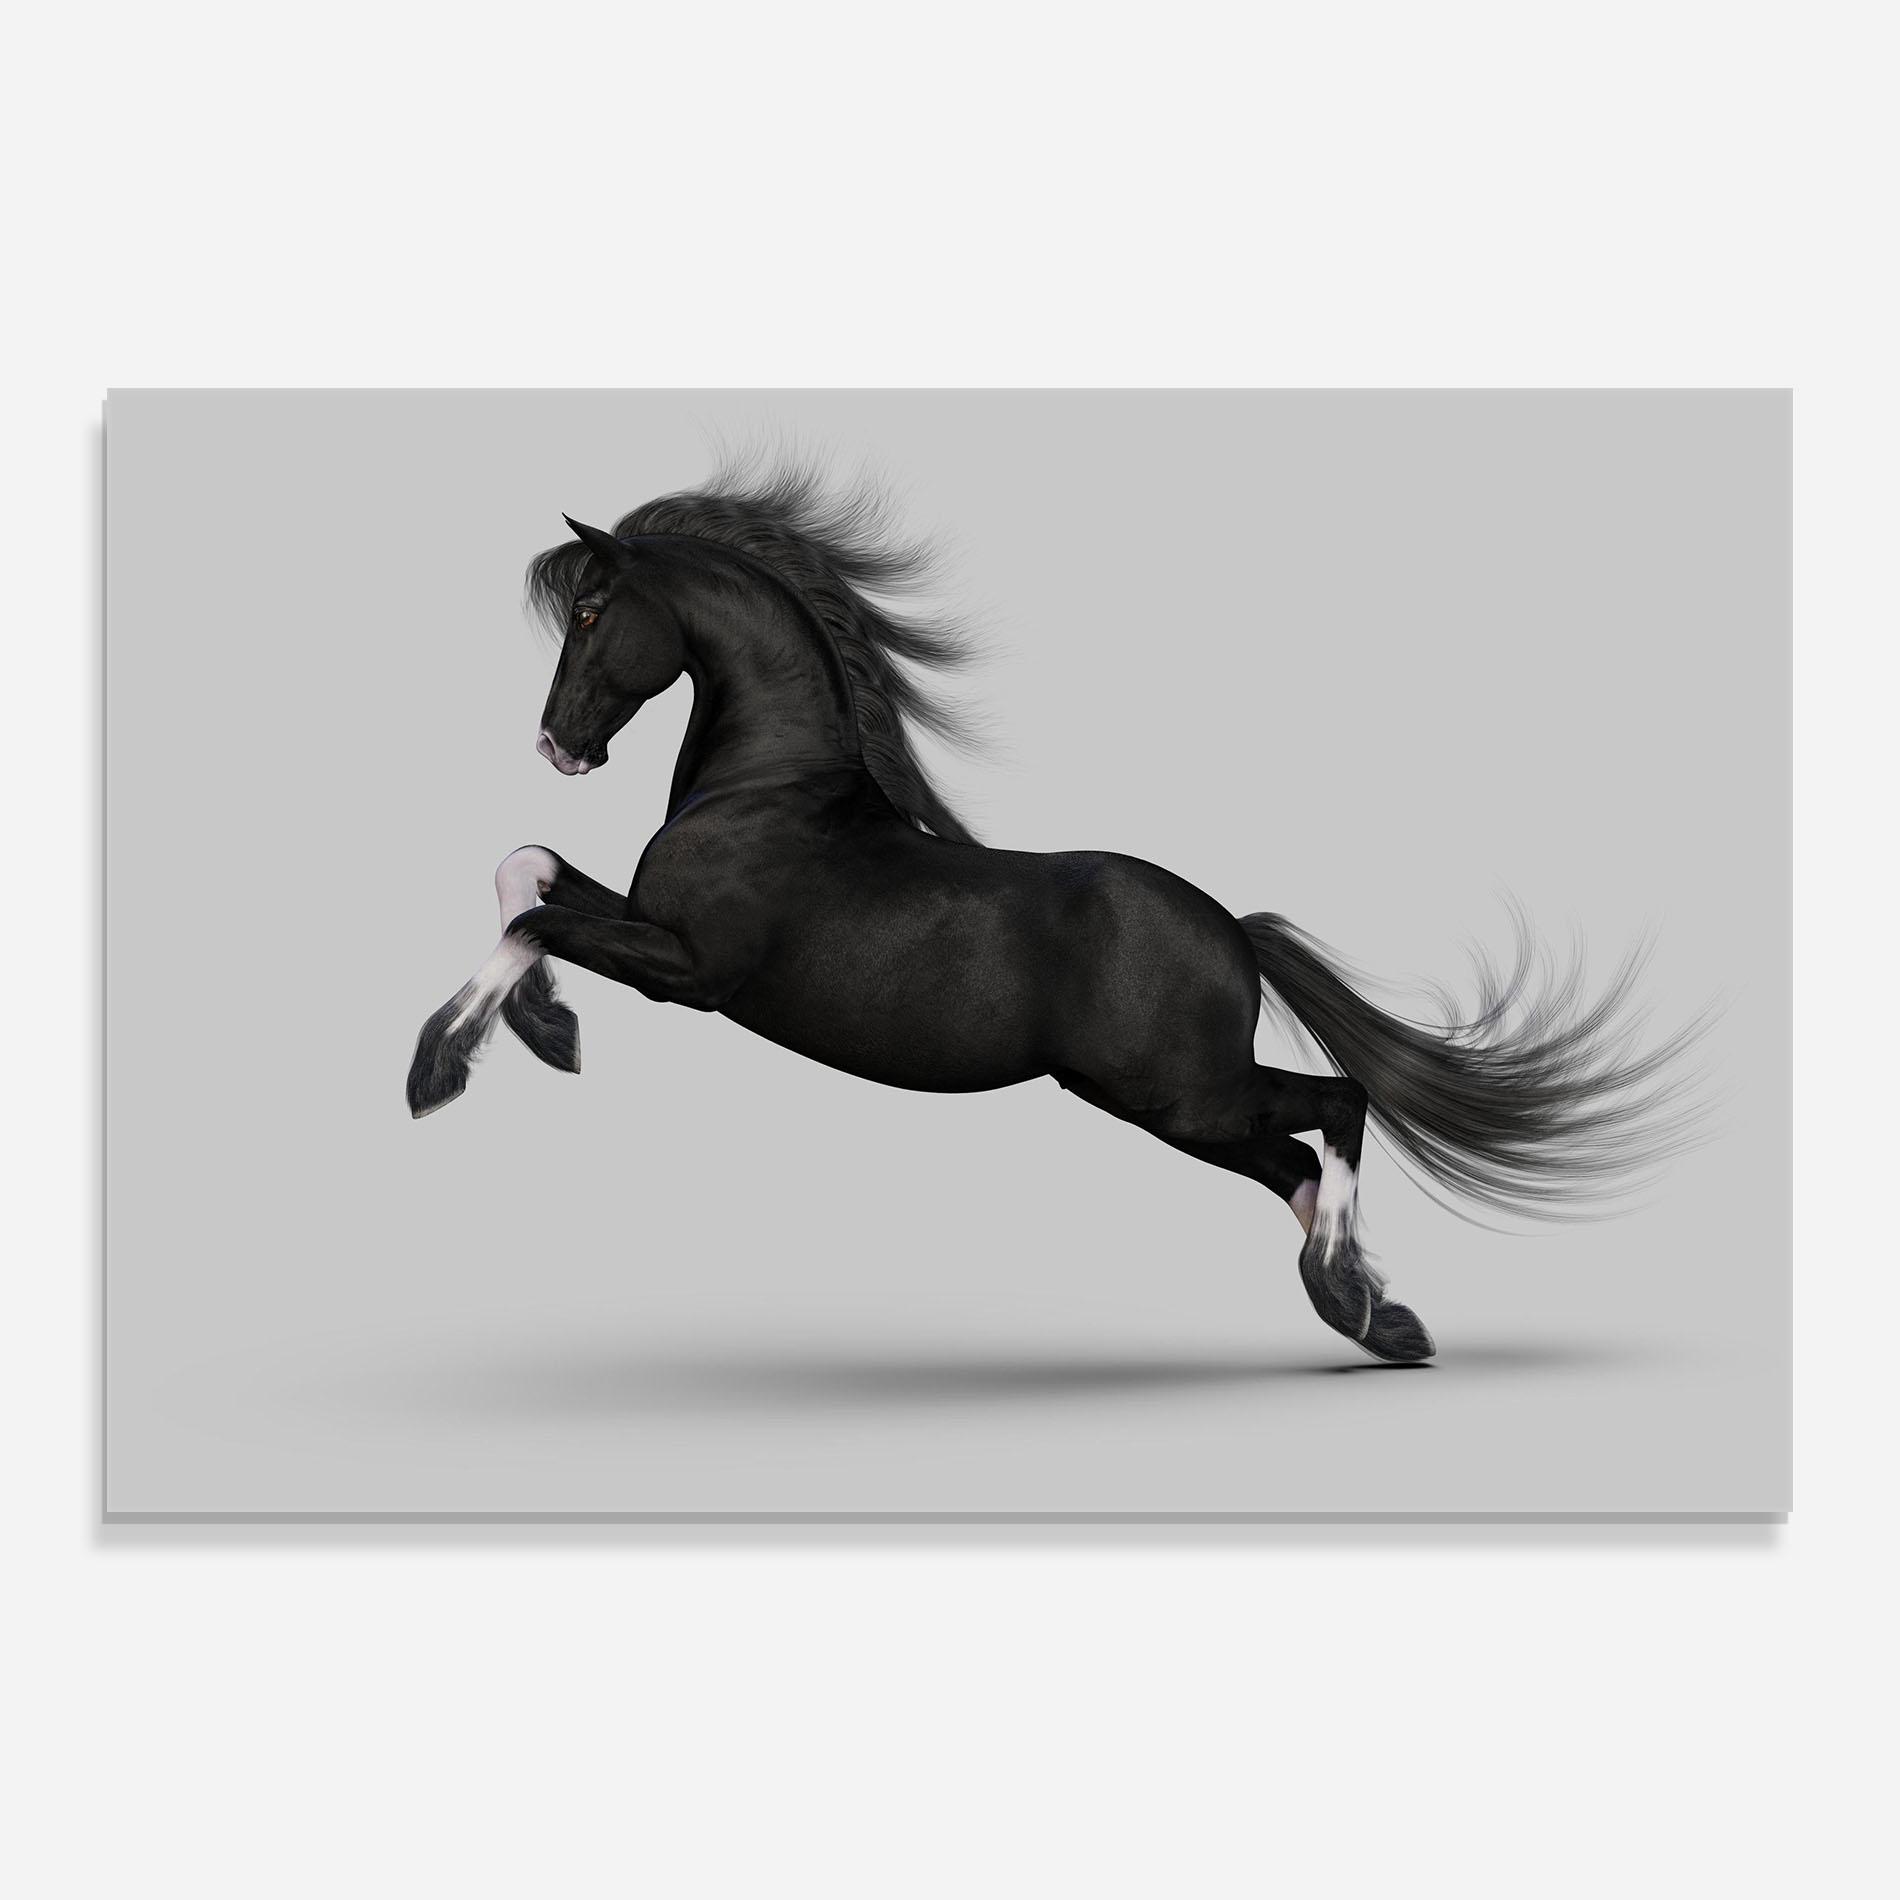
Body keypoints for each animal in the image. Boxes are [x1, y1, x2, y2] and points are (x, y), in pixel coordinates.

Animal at [406, 463, 1703, 1363]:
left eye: (591, 611)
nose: (557, 746)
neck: (772, 786)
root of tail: (1230, 929)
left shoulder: (690, 969)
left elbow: (530, 913)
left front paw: (446, 1066)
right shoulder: (654, 934)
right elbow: (524, 869)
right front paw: (548, 1029)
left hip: (1175, 1092)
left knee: (1337, 1107)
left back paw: (1354, 1298)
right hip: (1159, 1103)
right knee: (1293, 1157)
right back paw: (1378, 1316)